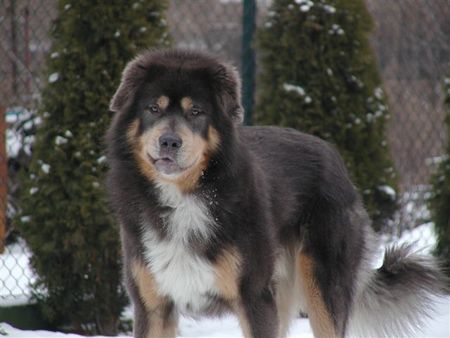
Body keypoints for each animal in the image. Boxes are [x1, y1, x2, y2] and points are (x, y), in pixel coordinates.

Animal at [106, 48, 446, 338]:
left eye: (196, 112)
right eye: (153, 108)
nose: (169, 142)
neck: (187, 194)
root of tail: (333, 155)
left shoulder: (254, 297)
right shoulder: (153, 305)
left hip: (322, 286)